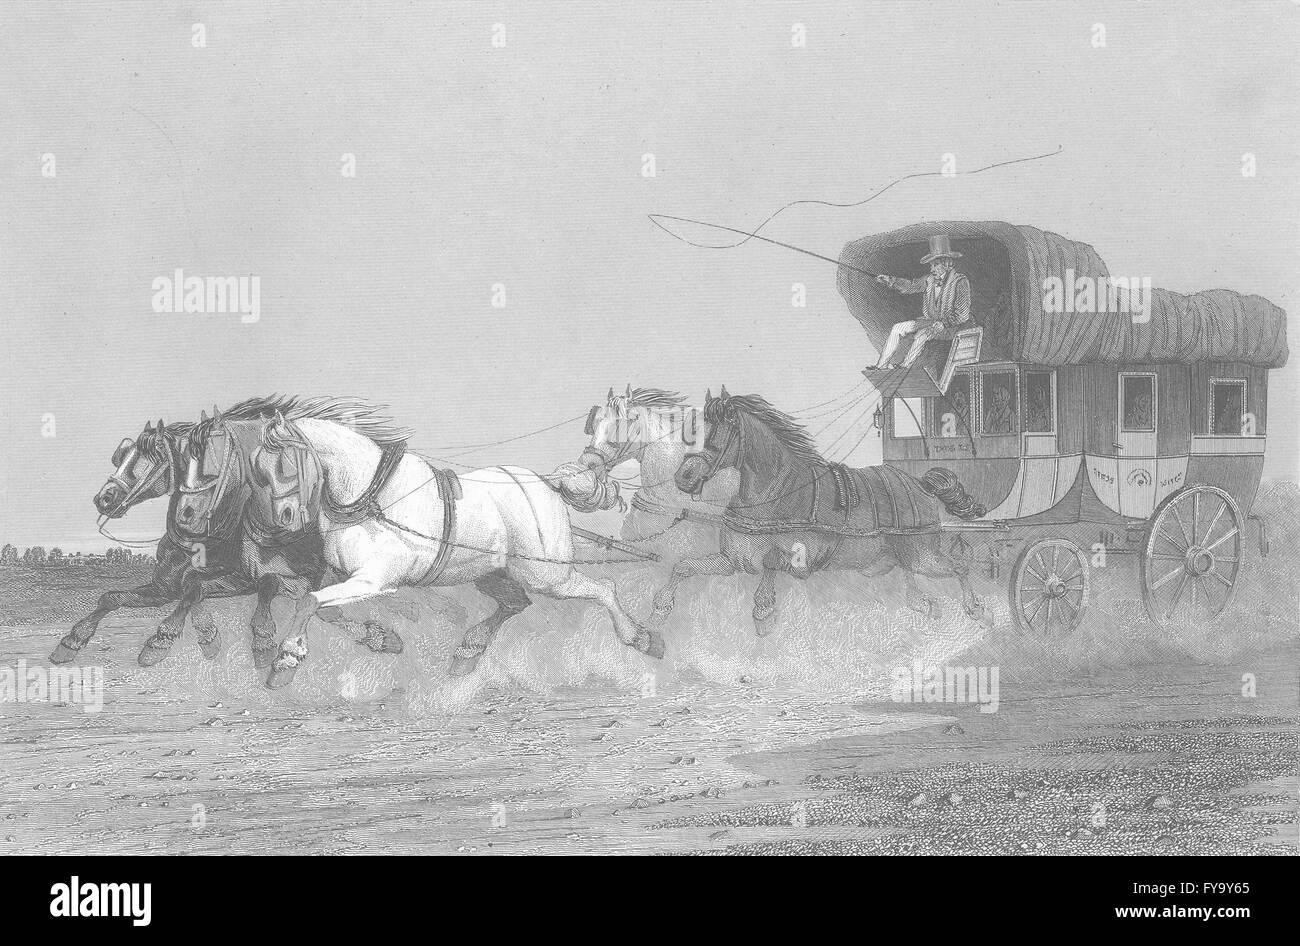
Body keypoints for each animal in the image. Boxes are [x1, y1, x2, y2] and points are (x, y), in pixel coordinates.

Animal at [256, 395, 660, 686]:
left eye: (285, 464)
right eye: (258, 470)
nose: (284, 517)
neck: (372, 495)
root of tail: (548, 484)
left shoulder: (376, 580)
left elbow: (310, 601)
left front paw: (286, 658)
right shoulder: (340, 576)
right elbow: (321, 606)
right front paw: (376, 640)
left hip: (548, 576)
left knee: (603, 588)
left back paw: (641, 638)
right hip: (494, 573)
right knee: (516, 604)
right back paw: (469, 651)